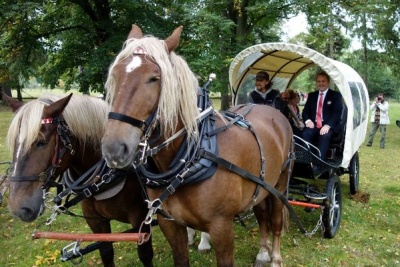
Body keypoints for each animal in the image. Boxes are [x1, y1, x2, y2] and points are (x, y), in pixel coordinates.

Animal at [101, 25, 292, 267]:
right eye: (115, 74)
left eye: (154, 78)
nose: (114, 148)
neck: (190, 160)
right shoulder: (170, 223)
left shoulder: (221, 227)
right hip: (261, 186)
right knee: (261, 216)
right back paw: (262, 252)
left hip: (280, 183)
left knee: (275, 221)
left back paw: (274, 257)